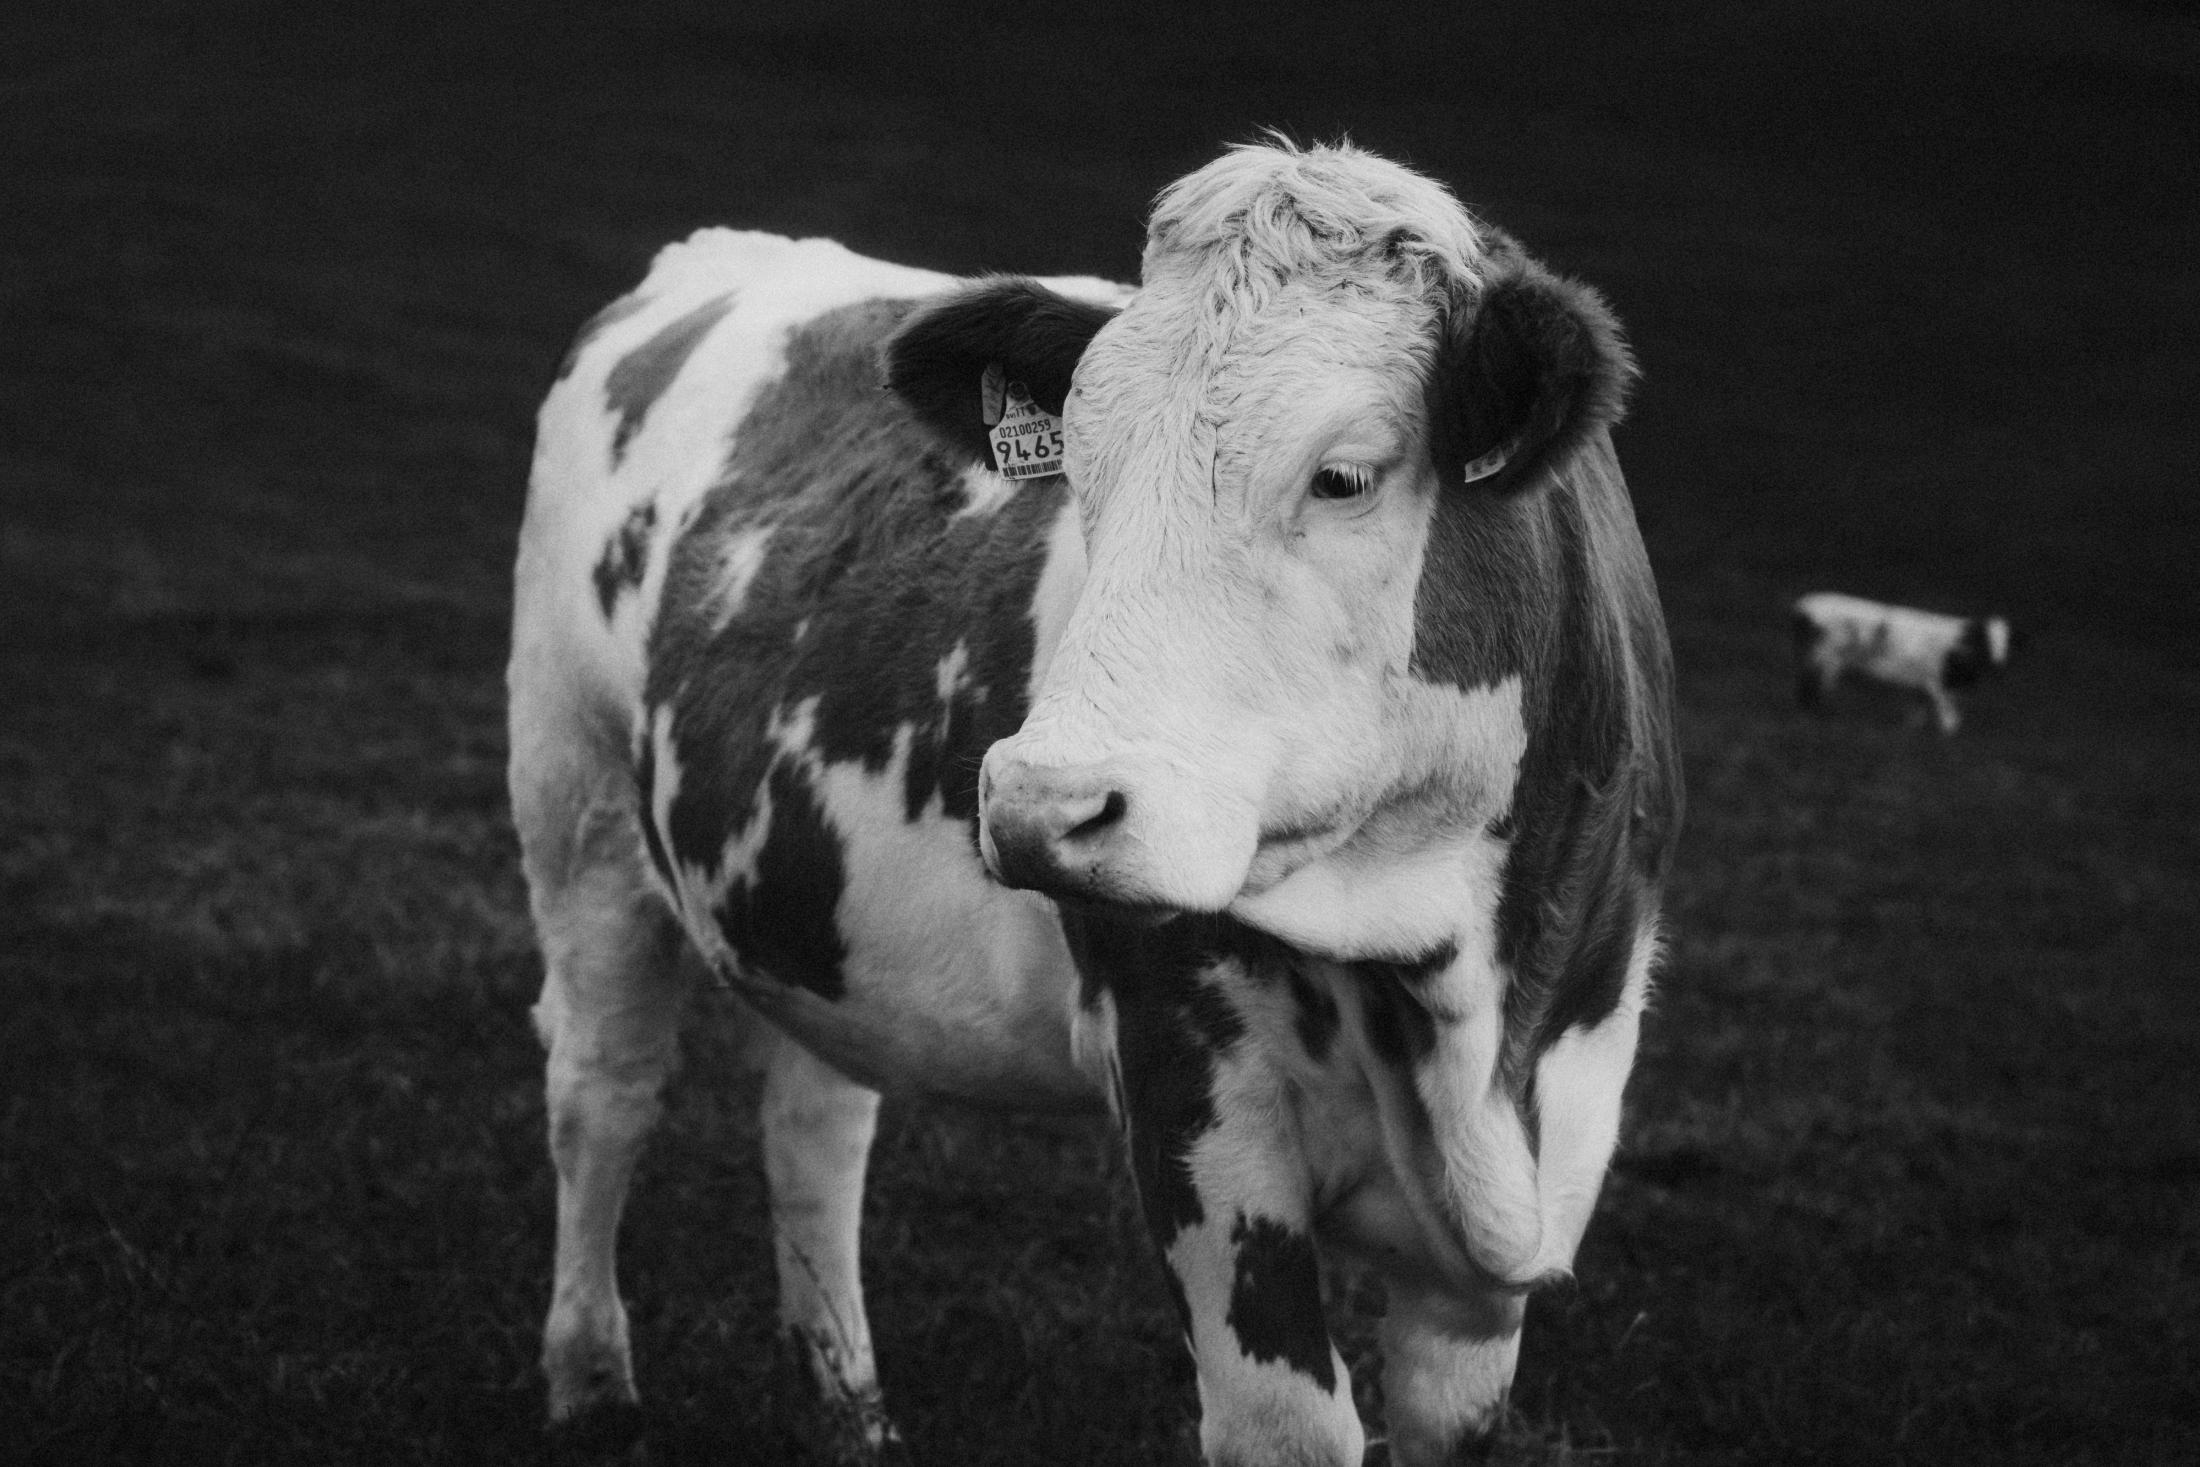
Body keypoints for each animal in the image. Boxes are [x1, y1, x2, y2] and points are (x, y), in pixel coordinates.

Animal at [508, 139, 1682, 1467]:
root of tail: (716, 256)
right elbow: (1286, 1423)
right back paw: (591, 1384)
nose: (1037, 800)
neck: (1464, 1019)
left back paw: (848, 1403)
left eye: (1343, 476)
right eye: (1080, 466)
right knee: (601, 1090)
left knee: (815, 1119)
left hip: (817, 902)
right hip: (575, 804)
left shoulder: (1541, 1165)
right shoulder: (1190, 1093)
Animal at [1791, 591, 2016, 734]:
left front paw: (1910, 728)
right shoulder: (1936, 683)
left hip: (1828, 659)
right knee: (1812, 682)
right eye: (1984, 640)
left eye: (2009, 641)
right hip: (1824, 654)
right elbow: (1949, 718)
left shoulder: (1926, 682)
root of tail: (1804, 605)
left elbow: (1920, 708)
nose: (1999, 664)